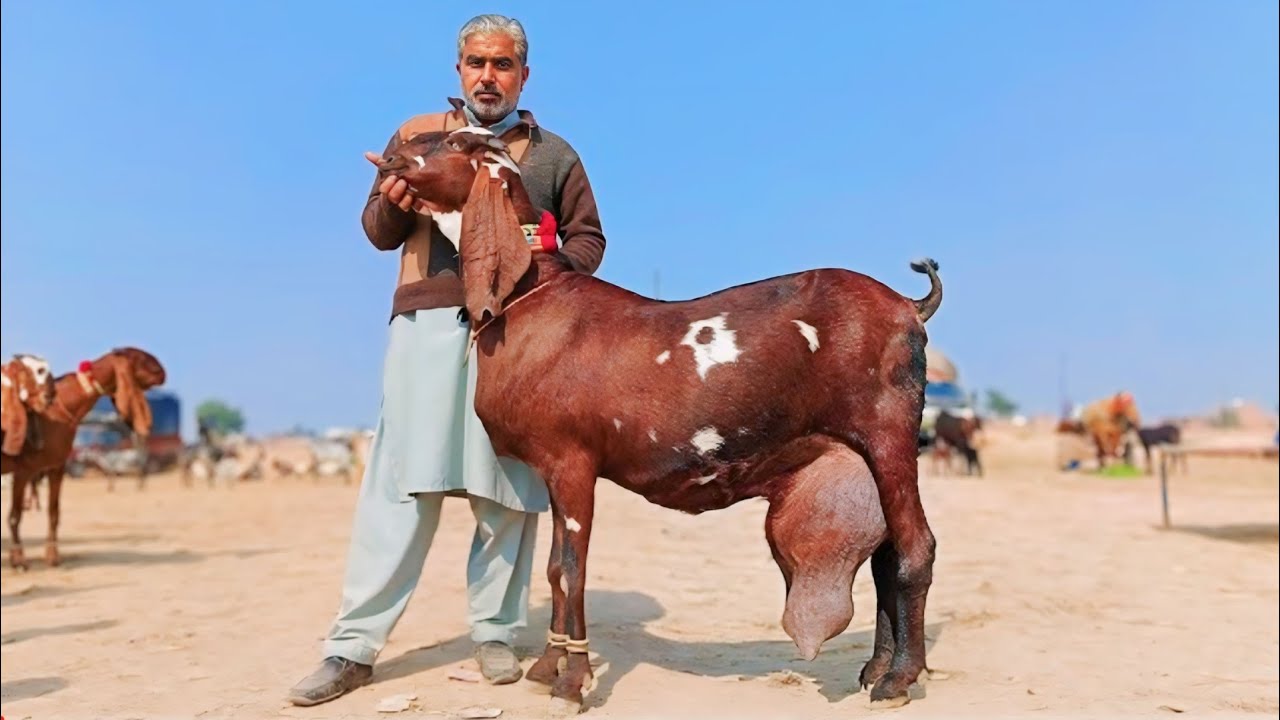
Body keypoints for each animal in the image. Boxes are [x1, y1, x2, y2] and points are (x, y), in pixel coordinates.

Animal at [2, 348, 165, 569]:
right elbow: (15, 515)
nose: (162, 373)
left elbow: (53, 512)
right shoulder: (23, 471)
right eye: (139, 357)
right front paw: (18, 559)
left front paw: (52, 556)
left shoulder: (56, 467)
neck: (58, 410)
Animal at [375, 127, 944, 711]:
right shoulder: (553, 473)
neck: (532, 294)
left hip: (889, 435)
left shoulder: (573, 463)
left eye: (452, 142)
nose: (391, 153)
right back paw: (875, 669)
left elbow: (574, 571)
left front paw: (573, 682)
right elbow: (554, 569)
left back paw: (899, 678)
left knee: (914, 550)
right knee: (884, 555)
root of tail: (908, 306)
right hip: (865, 454)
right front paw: (547, 668)